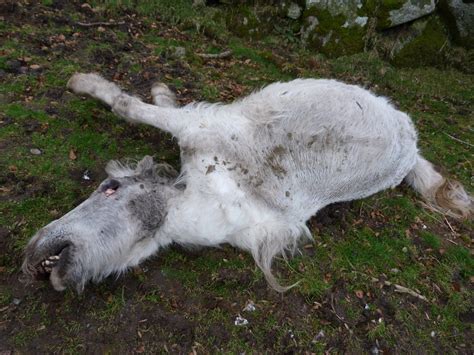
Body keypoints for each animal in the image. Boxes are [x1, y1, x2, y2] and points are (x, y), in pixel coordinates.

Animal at [21, 73, 470, 292]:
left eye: (109, 188)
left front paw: (82, 82)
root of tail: (410, 142)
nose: (31, 255)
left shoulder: (196, 127)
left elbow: (128, 105)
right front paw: (161, 90)